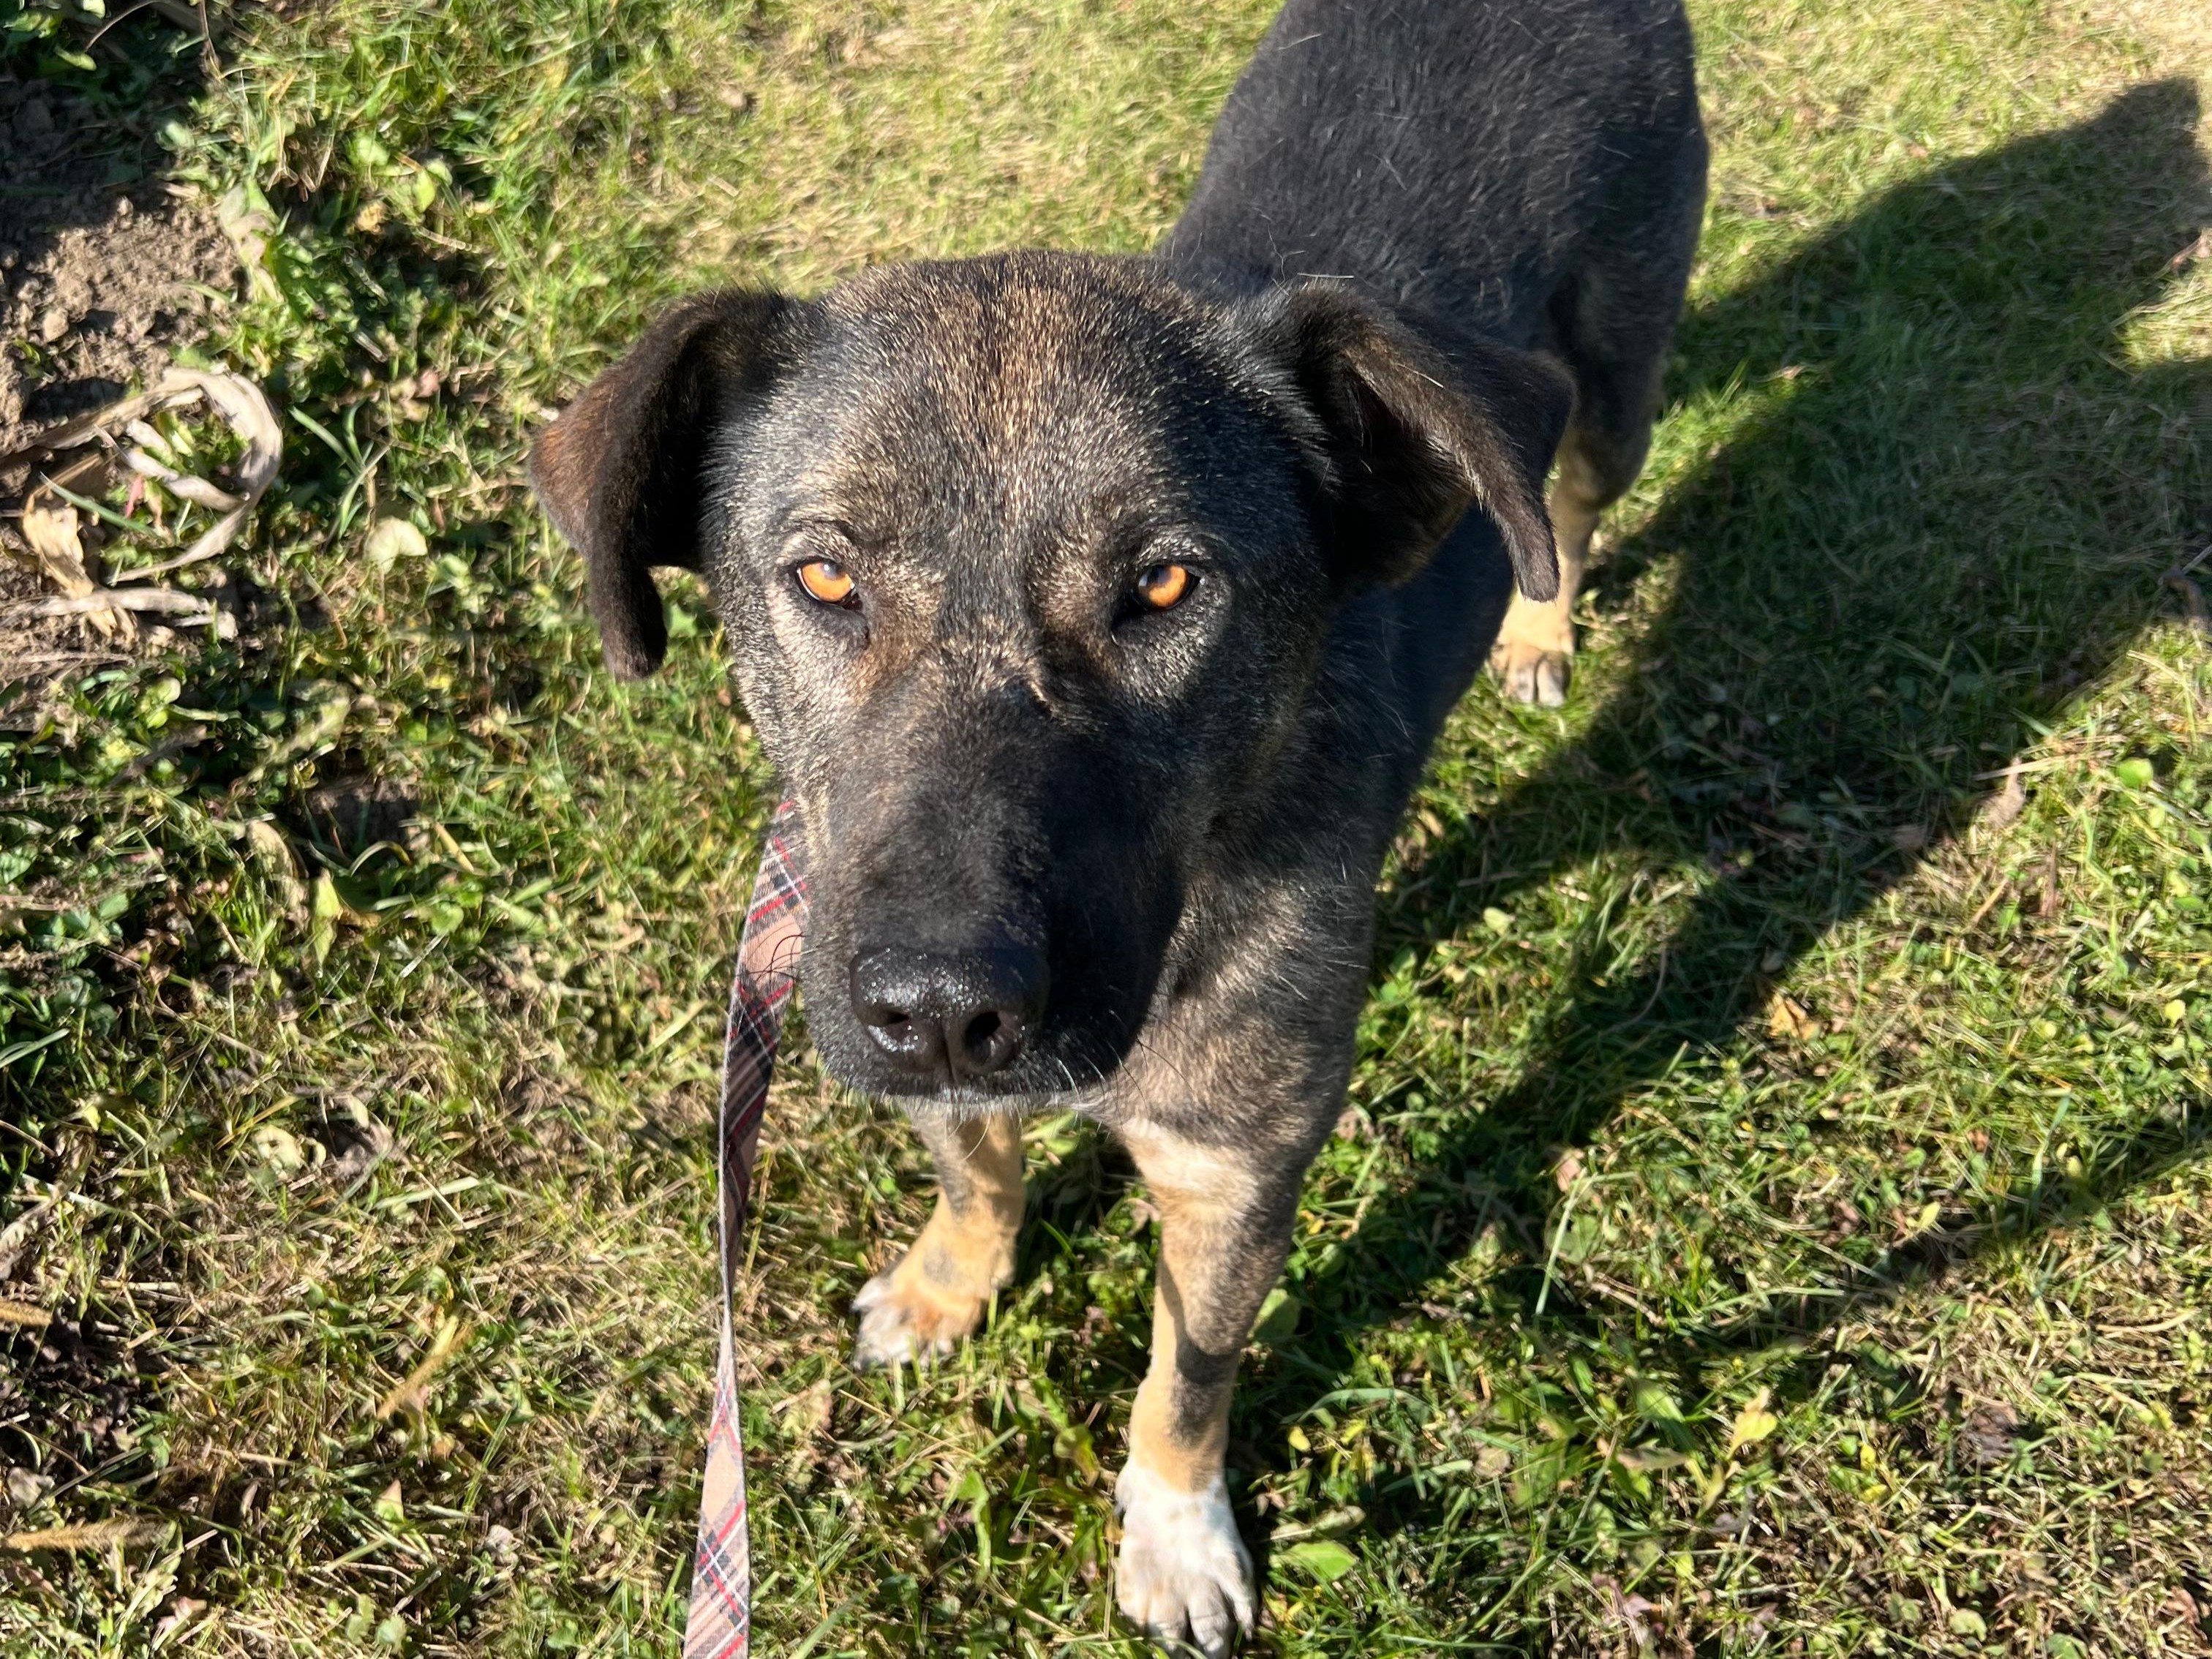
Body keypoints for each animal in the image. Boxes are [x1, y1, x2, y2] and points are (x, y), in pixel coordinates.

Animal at [530, 0, 1704, 1648]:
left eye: (1164, 585)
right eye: (823, 577)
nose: (944, 1009)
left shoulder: (1233, 1177)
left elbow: (1187, 1380)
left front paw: (1176, 1527)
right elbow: (978, 1171)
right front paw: (951, 1280)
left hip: (1612, 386)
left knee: (1571, 506)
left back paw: (1539, 625)